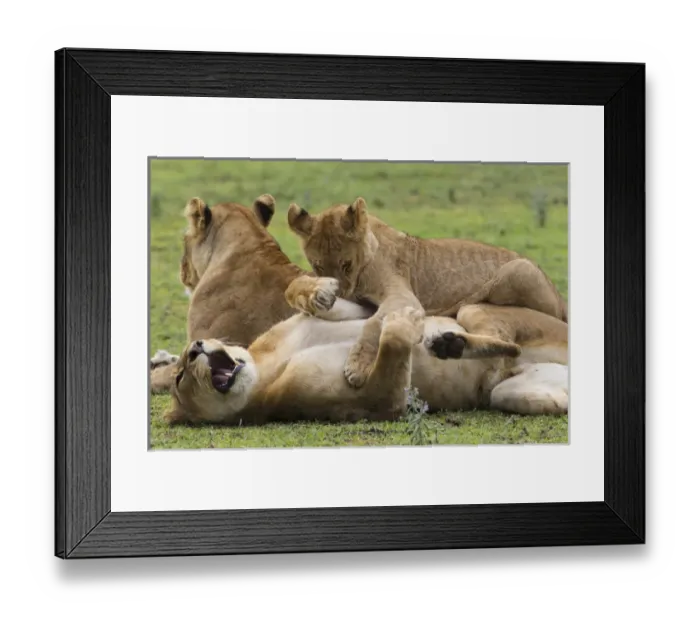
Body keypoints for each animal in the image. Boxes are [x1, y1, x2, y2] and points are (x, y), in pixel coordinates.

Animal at [162, 279, 568, 426]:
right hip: (510, 394)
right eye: (180, 377)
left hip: (473, 311)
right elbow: (390, 344)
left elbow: (339, 307)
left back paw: (450, 341)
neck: (265, 366)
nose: (195, 347)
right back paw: (448, 344)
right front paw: (404, 322)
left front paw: (318, 292)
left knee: (501, 338)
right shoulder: (381, 404)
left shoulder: (352, 312)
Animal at [287, 197, 568, 388]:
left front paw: (357, 366)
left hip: (516, 270)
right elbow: (294, 285)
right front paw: (315, 295)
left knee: (512, 344)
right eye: (319, 266)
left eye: (346, 264)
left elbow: (373, 323)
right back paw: (450, 346)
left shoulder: (403, 297)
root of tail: (562, 299)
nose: (342, 293)